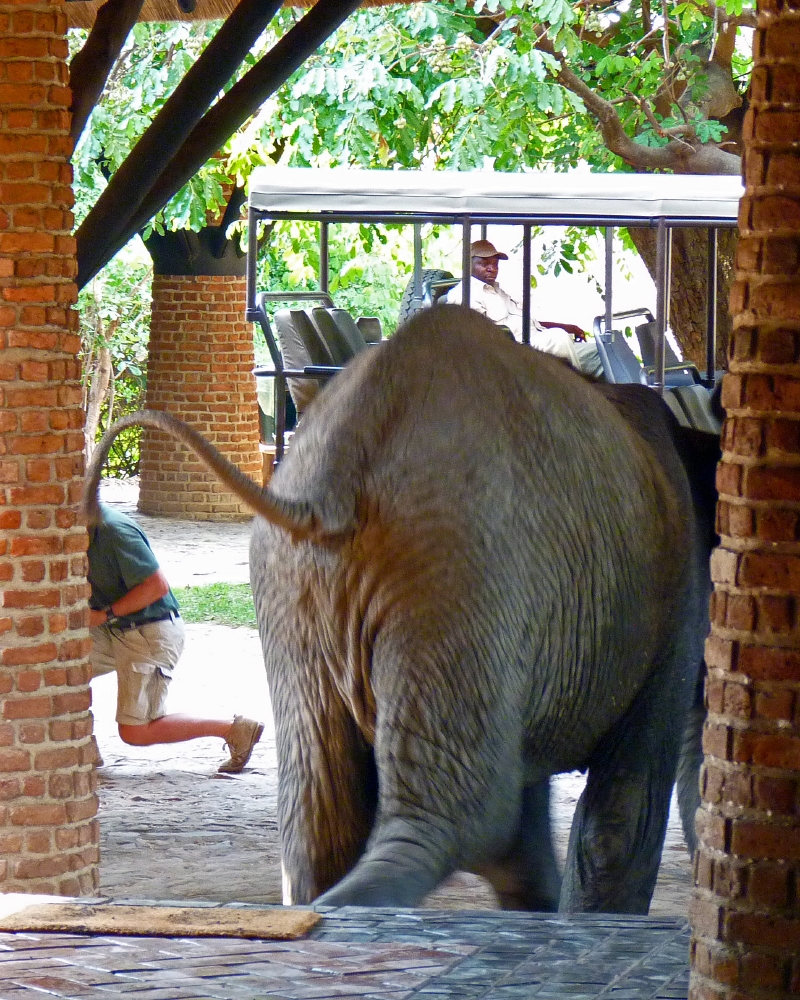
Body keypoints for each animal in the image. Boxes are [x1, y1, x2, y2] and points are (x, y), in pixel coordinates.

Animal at [84, 304, 718, 914]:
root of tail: (335, 475)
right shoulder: (674, 592)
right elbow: (620, 820)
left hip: (297, 588)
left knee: (326, 821)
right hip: (457, 572)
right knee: (459, 823)